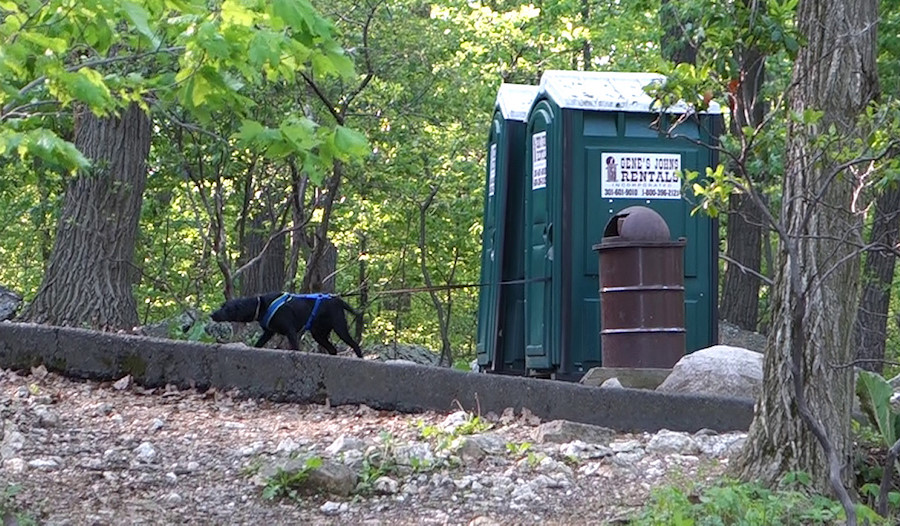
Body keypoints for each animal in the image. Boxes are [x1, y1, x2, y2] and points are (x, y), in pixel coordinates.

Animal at [210, 292, 362, 358]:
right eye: (222, 305)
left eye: (225, 308)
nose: (212, 314)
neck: (261, 305)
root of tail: (338, 300)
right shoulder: (268, 332)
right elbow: (258, 344)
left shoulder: (291, 332)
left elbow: (295, 347)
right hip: (319, 334)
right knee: (333, 349)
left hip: (339, 328)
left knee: (355, 344)